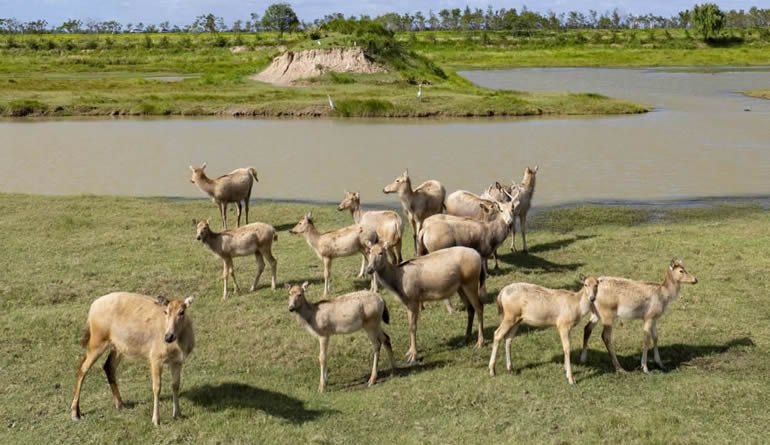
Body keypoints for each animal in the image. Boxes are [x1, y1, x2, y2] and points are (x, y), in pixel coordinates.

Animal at [70, 294, 194, 424]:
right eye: (166, 311)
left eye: (182, 312)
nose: (169, 336)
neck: (178, 347)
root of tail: (92, 309)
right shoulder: (155, 357)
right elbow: (157, 387)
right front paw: (156, 420)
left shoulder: (177, 361)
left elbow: (175, 385)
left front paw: (178, 414)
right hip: (97, 340)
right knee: (82, 368)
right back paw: (75, 414)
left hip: (118, 347)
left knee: (108, 366)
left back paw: (120, 404)